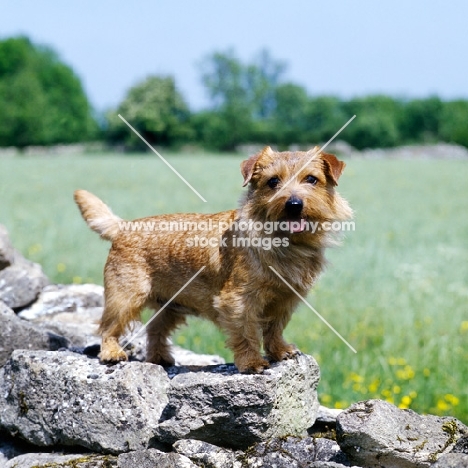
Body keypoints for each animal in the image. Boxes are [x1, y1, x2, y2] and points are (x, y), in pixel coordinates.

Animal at [74, 146, 352, 372]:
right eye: (273, 181)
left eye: (311, 179)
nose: (294, 204)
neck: (287, 244)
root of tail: (124, 226)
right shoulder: (238, 300)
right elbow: (246, 331)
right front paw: (251, 362)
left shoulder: (285, 299)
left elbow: (274, 328)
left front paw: (280, 351)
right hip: (125, 296)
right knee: (108, 326)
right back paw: (112, 353)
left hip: (170, 306)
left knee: (155, 329)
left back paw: (160, 358)